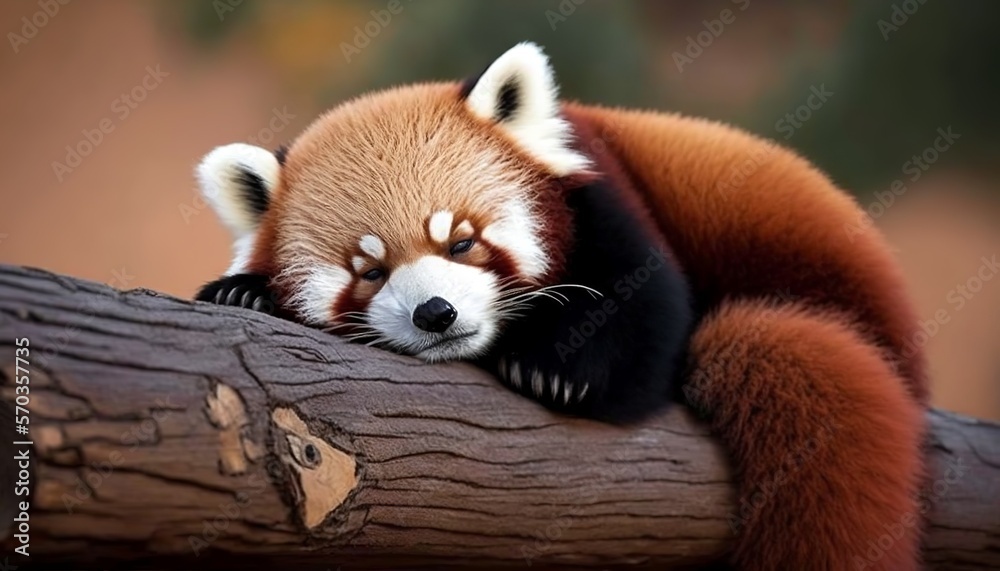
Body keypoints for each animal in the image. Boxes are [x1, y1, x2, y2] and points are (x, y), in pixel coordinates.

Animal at [194, 42, 928, 570]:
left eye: (462, 241)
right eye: (370, 272)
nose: (435, 313)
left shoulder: (607, 192)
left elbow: (644, 325)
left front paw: (558, 368)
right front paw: (245, 293)